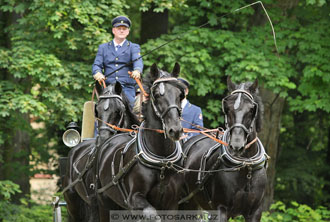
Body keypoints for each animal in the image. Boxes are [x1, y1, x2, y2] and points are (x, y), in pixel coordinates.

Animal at [96, 62, 187, 222]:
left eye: (180, 95)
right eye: (156, 95)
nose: (175, 130)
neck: (162, 160)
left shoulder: (172, 203)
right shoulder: (135, 199)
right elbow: (152, 215)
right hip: (104, 203)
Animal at [180, 77, 268, 221]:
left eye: (251, 109)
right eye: (227, 108)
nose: (236, 145)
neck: (246, 166)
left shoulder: (255, 211)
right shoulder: (221, 209)